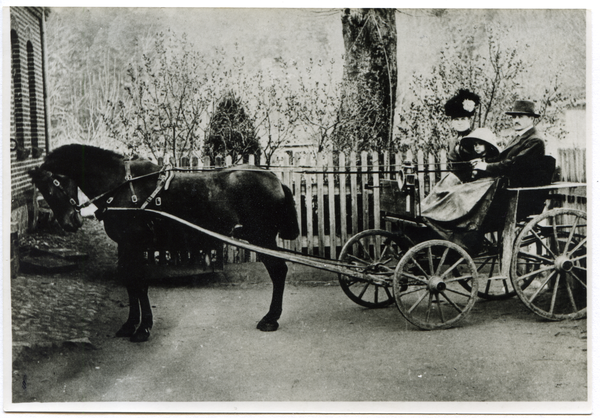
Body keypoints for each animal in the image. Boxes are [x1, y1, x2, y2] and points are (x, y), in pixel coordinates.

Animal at [29, 145, 298, 342]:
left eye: (53, 186)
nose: (70, 223)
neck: (120, 186)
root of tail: (274, 179)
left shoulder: (135, 244)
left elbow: (140, 283)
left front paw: (143, 328)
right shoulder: (125, 246)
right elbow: (129, 282)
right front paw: (130, 324)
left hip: (261, 238)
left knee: (278, 271)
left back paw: (270, 319)